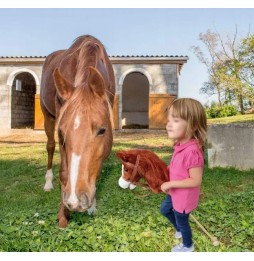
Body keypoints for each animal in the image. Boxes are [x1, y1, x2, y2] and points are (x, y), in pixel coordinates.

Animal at [40, 35, 115, 226]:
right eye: (62, 133)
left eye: (102, 130)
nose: (75, 200)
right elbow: (64, 172)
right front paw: (63, 215)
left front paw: (92, 206)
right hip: (47, 116)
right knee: (50, 147)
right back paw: (48, 183)